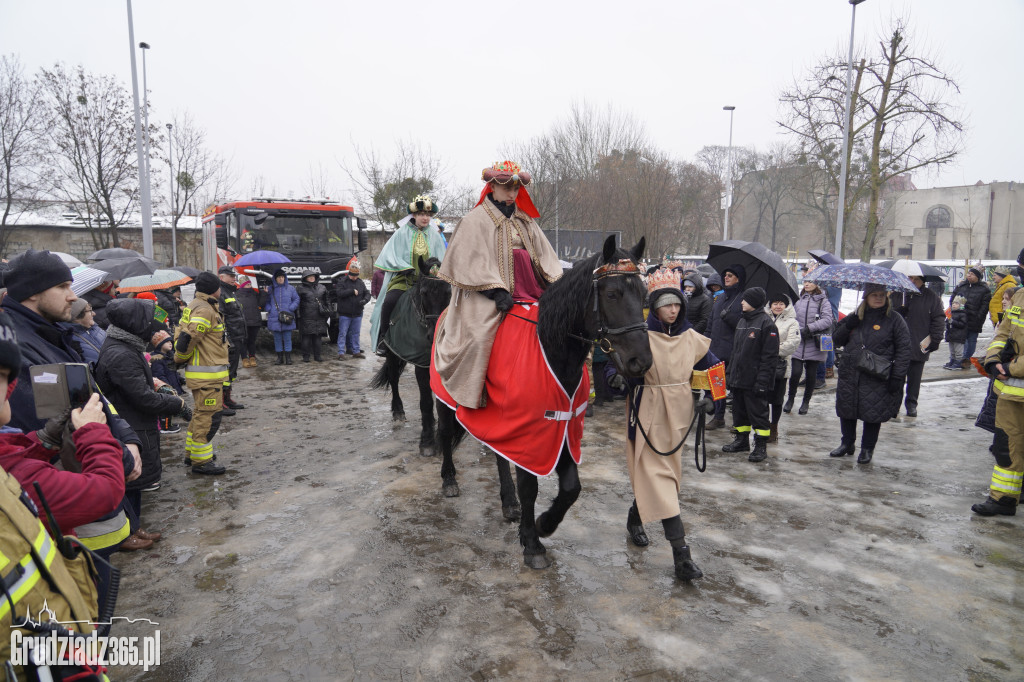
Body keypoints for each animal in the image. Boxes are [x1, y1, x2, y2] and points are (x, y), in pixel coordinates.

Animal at [368, 258, 448, 454]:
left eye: (448, 292)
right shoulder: (421, 365)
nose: (434, 334)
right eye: (424, 293)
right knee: (393, 378)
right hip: (390, 352)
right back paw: (398, 411)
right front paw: (427, 442)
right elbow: (426, 402)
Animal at [436, 236, 651, 565]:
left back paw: (508, 501)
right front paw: (532, 542)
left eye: (644, 295)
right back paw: (449, 480)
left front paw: (544, 524)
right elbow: (530, 487)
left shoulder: (562, 428)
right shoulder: (529, 432)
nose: (641, 361)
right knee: (446, 434)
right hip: (446, 397)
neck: (551, 347)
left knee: (498, 453)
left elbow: (572, 487)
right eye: (612, 294)